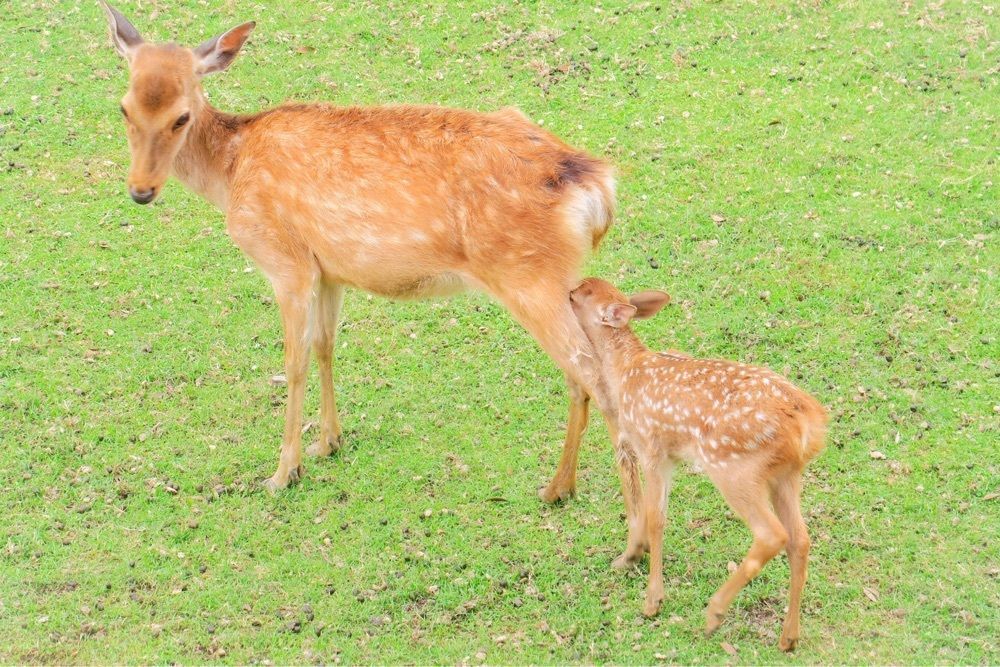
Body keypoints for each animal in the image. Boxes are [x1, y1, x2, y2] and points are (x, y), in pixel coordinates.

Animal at [98, 1, 648, 520]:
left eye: (181, 116)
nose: (141, 190)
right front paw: (328, 442)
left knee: (590, 375)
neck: (231, 171)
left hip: (528, 276)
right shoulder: (328, 269)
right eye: (123, 108)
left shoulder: (285, 261)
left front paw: (284, 471)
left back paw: (587, 502)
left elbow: (293, 361)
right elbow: (325, 346)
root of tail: (597, 188)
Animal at [568, 277, 827, 652]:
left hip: (734, 468)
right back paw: (788, 637)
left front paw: (652, 600)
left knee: (771, 534)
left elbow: (655, 517)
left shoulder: (652, 448)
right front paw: (627, 558)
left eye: (582, 294)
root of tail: (809, 422)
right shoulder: (668, 457)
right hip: (786, 475)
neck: (625, 371)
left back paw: (714, 614)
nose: (568, 290)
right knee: (800, 540)